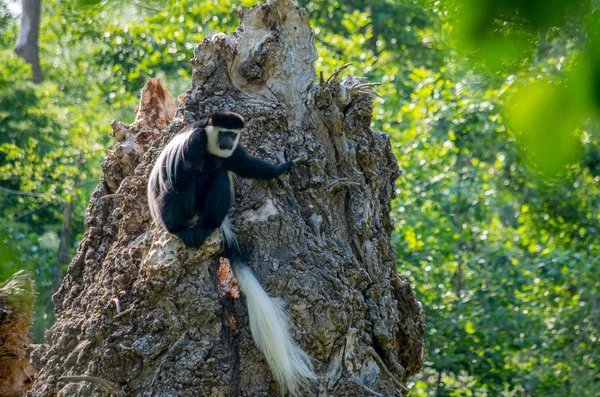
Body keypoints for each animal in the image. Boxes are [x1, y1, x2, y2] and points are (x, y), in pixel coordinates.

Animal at [148, 112, 316, 396]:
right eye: (224, 132)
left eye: (233, 134)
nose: (227, 141)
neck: (210, 146)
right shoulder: (194, 142)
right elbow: (183, 173)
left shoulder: (233, 152)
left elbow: (245, 165)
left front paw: (284, 167)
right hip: (168, 208)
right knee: (176, 185)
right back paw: (180, 228)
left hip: (213, 206)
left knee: (218, 176)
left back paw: (207, 225)